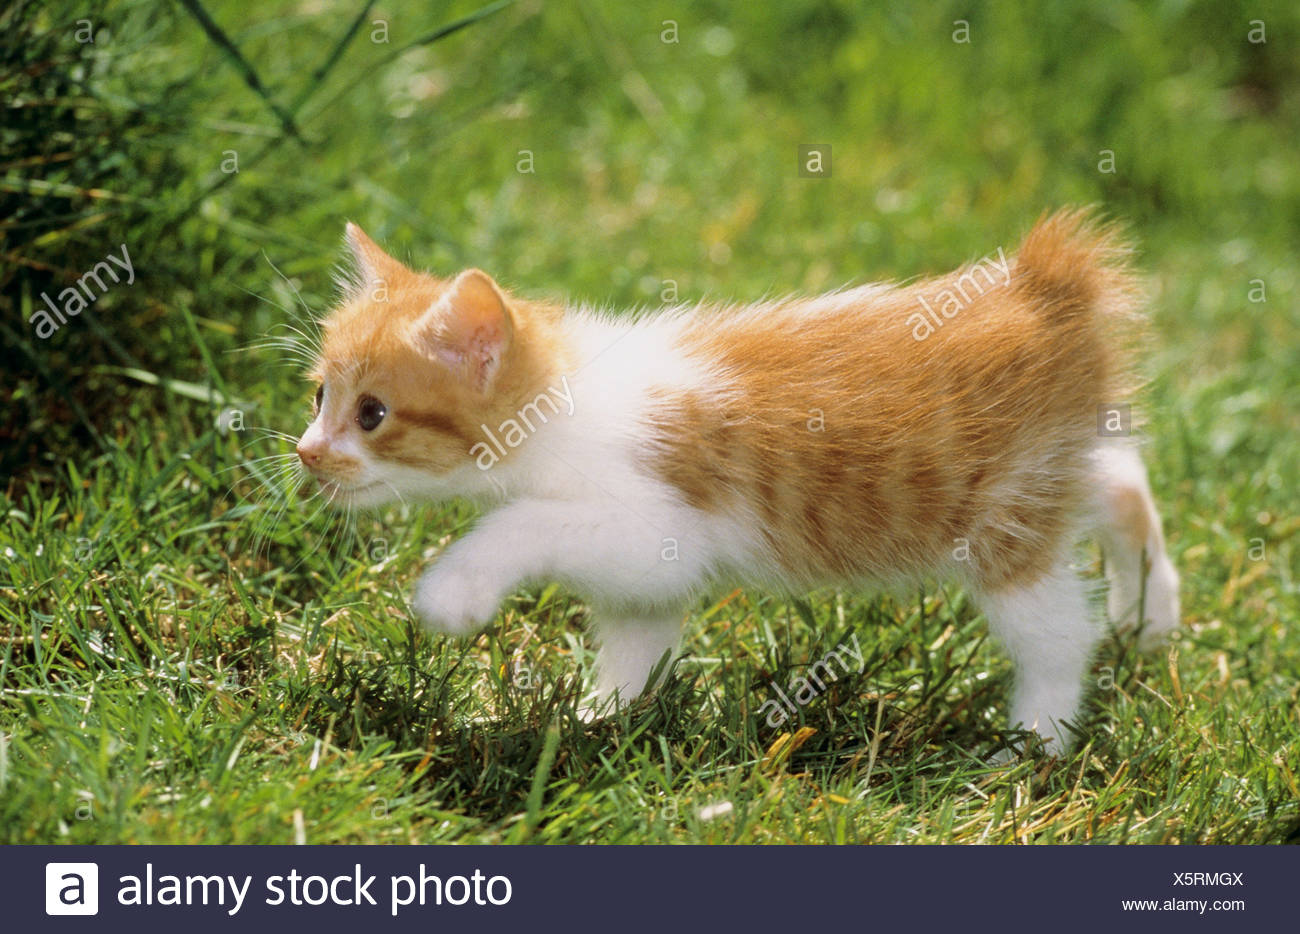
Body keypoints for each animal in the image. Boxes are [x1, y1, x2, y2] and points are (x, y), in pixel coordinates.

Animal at [295, 210, 1180, 754]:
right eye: (318, 396)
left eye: (371, 414)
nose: (305, 453)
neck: (564, 397)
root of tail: (1043, 285)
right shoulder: (645, 575)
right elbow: (639, 633)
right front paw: (597, 722)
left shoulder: (656, 522)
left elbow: (526, 523)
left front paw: (454, 592)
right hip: (1051, 465)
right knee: (1120, 479)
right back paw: (1151, 611)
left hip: (1000, 521)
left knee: (1058, 634)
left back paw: (1030, 750)